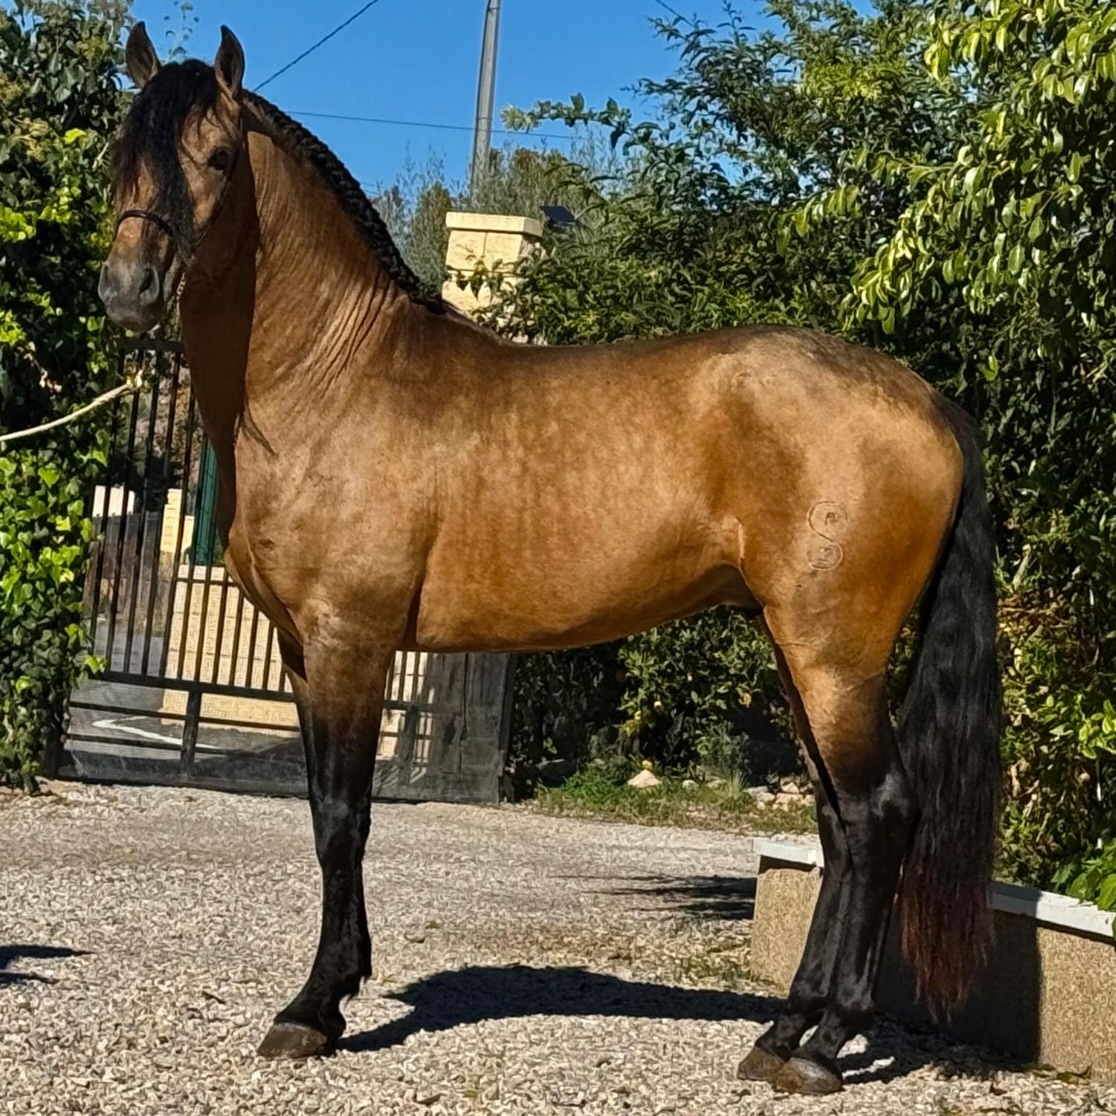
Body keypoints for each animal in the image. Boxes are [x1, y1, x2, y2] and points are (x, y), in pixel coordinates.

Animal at [97, 24, 1002, 1096]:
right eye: (118, 153)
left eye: (218, 157)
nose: (128, 292)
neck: (337, 378)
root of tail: (930, 403)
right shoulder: (301, 652)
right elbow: (326, 814)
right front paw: (335, 990)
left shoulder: (352, 642)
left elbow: (342, 818)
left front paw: (313, 1008)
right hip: (800, 654)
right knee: (836, 822)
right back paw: (783, 1033)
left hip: (835, 657)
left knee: (880, 813)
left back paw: (826, 1047)